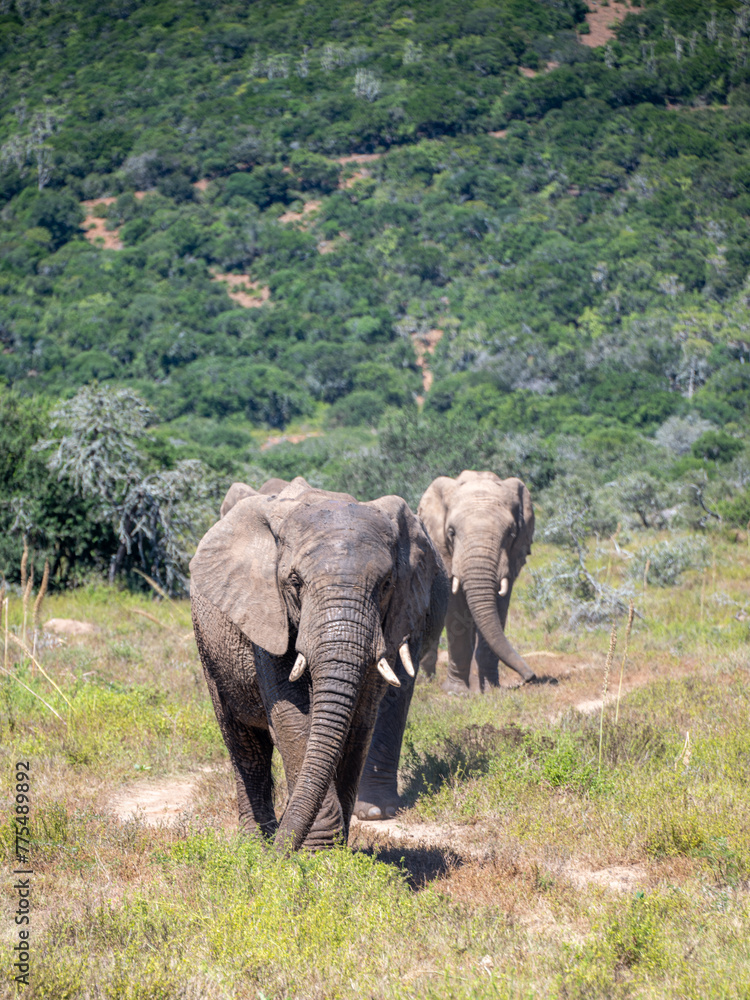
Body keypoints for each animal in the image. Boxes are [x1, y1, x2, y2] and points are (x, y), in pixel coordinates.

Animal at [190, 476, 447, 851]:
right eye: (295, 582)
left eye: (386, 584)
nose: (280, 853)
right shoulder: (268, 614)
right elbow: (293, 718)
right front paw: (316, 850)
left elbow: (358, 720)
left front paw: (335, 849)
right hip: (209, 646)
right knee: (244, 744)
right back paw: (256, 843)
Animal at [417, 470, 537, 694]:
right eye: (451, 532)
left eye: (511, 533)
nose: (529, 677)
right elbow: (455, 612)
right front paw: (456, 692)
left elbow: (499, 607)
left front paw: (491, 690)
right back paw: (426, 682)